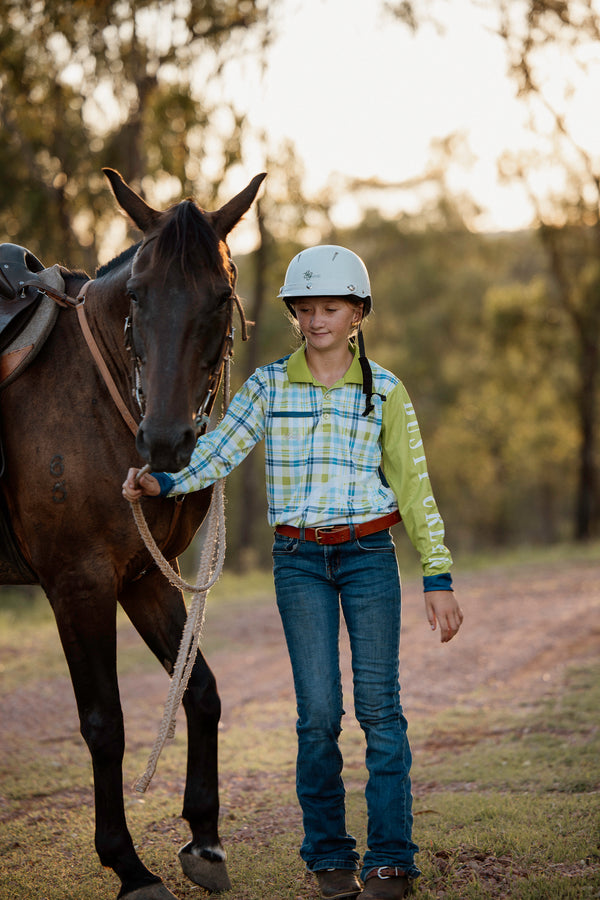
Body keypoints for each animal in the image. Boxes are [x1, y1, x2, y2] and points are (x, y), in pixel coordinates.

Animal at [0, 169, 264, 900]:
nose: (166, 442)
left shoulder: (145, 579)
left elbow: (198, 689)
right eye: (139, 294)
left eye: (221, 296)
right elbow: (104, 722)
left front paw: (204, 837)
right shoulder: (79, 585)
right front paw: (128, 865)